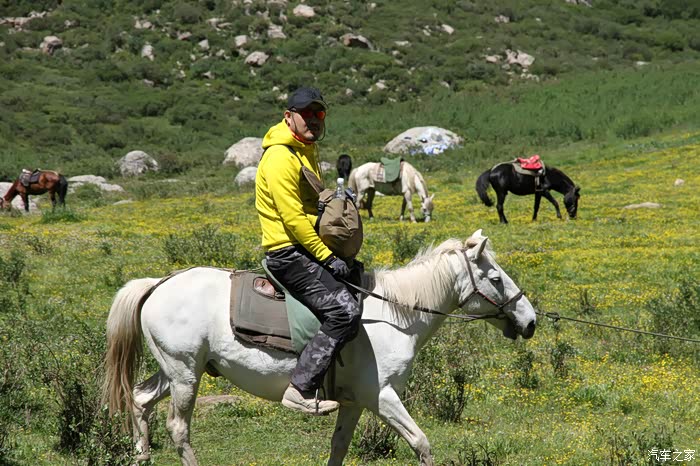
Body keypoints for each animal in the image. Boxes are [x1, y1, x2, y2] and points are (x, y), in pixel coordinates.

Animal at [103, 230, 536, 466]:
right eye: (496, 279)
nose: (530, 320)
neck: (393, 315)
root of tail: (158, 283)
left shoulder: (354, 403)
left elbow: (339, 447)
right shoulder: (382, 397)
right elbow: (421, 444)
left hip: (175, 371)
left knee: (140, 400)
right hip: (184, 376)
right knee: (178, 428)